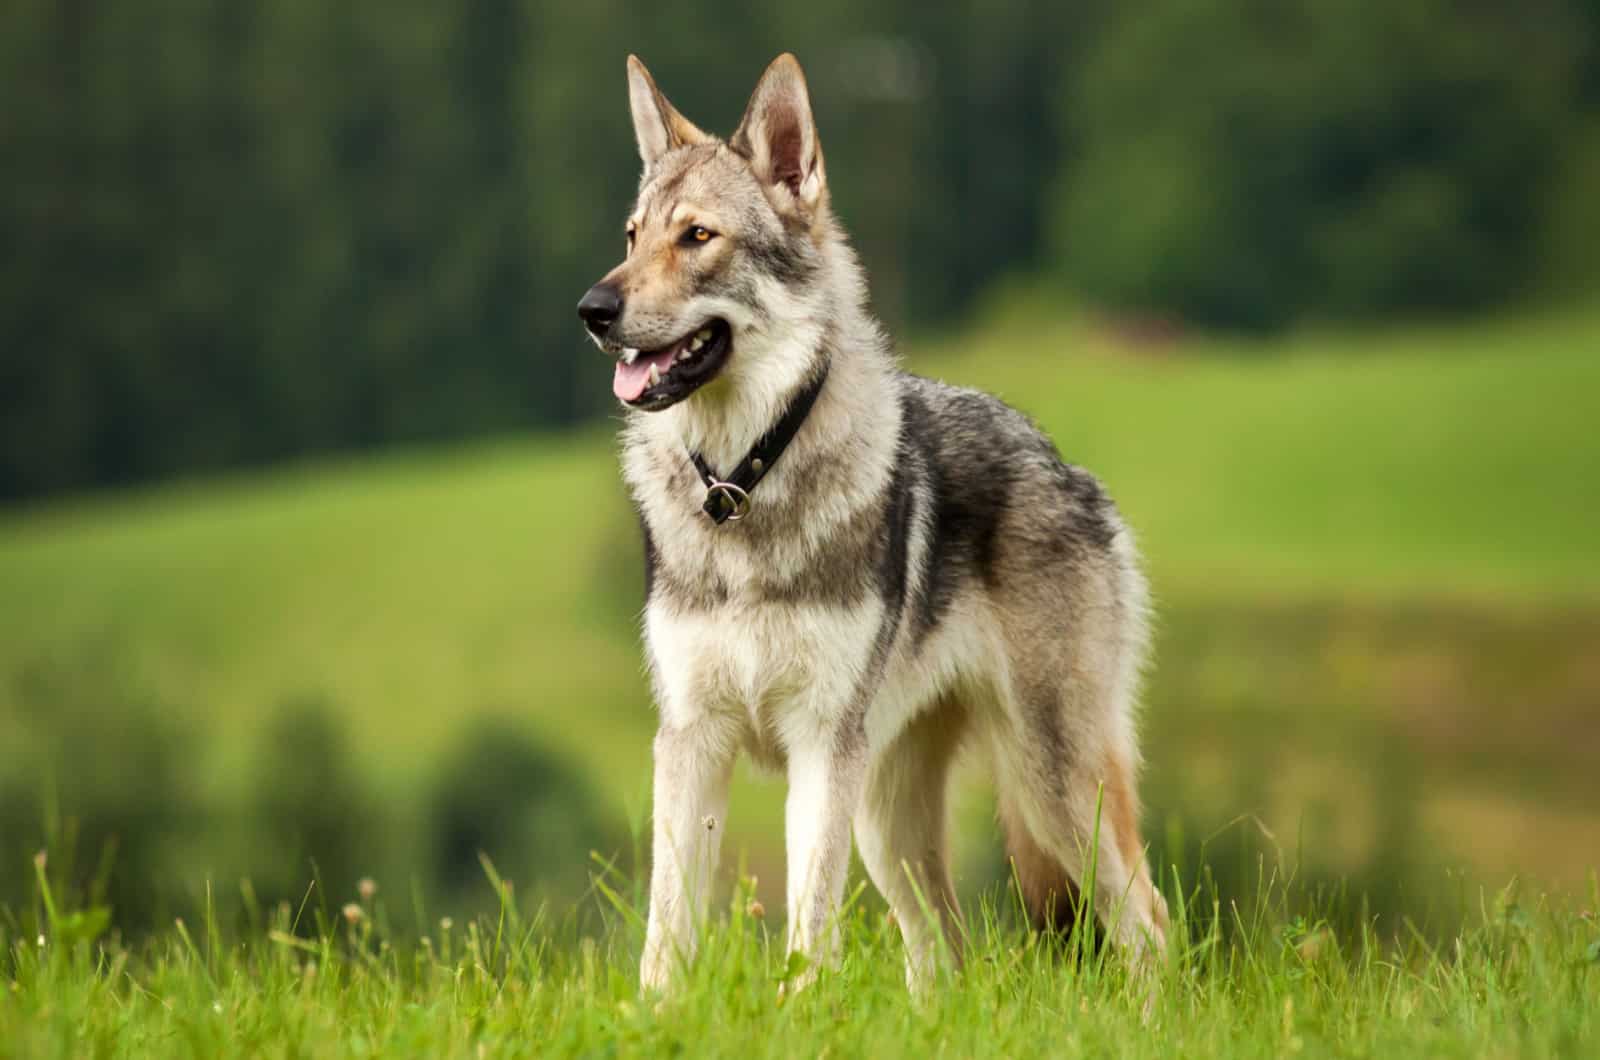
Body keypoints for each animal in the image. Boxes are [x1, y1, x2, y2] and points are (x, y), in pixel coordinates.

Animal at [582, 54, 1171, 992]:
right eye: (632, 236)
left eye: (699, 237)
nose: (592, 308)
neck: (744, 487)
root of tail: (1065, 463)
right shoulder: (691, 742)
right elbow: (666, 933)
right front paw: (657, 1015)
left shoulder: (820, 749)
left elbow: (807, 929)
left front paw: (796, 1011)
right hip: (890, 827)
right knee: (946, 959)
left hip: (1049, 790)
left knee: (1148, 924)